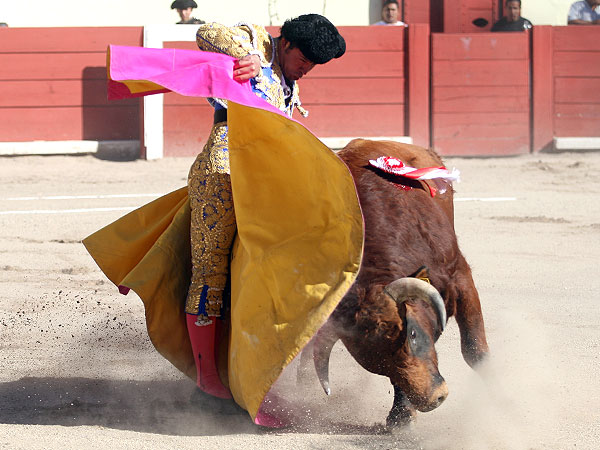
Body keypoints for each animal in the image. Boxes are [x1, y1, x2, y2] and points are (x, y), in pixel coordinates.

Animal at [302, 139, 490, 428]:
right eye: (380, 365)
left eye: (412, 334)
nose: (433, 399)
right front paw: (401, 415)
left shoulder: (461, 277)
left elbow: (475, 350)